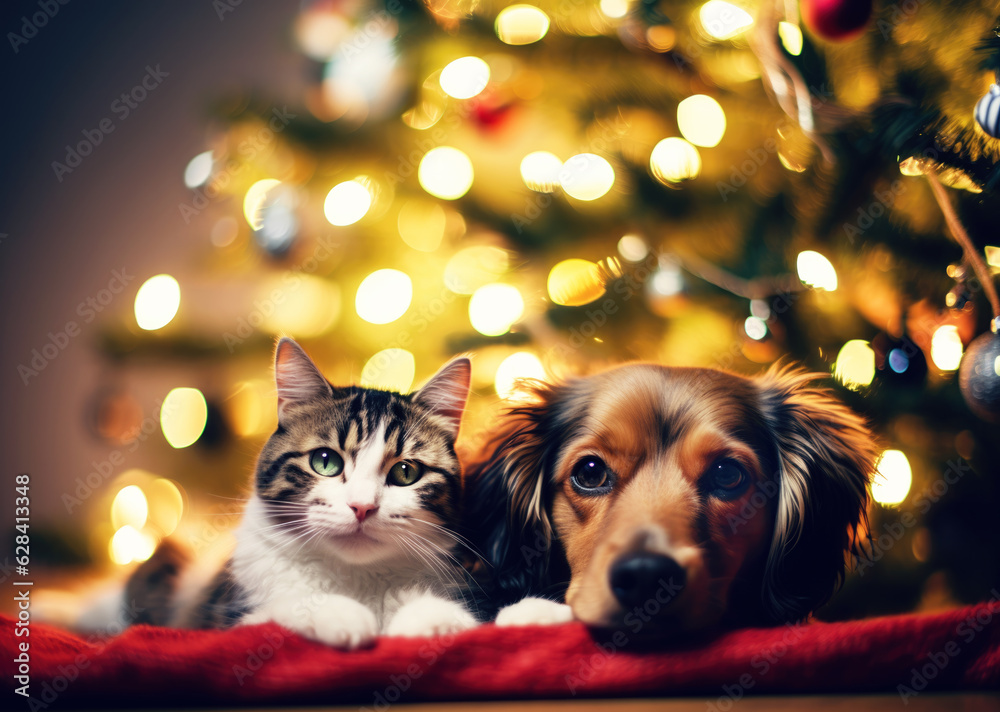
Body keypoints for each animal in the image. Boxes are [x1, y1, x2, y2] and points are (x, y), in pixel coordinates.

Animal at [124, 336, 476, 648]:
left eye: (405, 472)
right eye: (325, 461)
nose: (362, 507)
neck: (355, 577)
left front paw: (427, 622)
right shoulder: (224, 617)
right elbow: (278, 610)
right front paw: (339, 613)